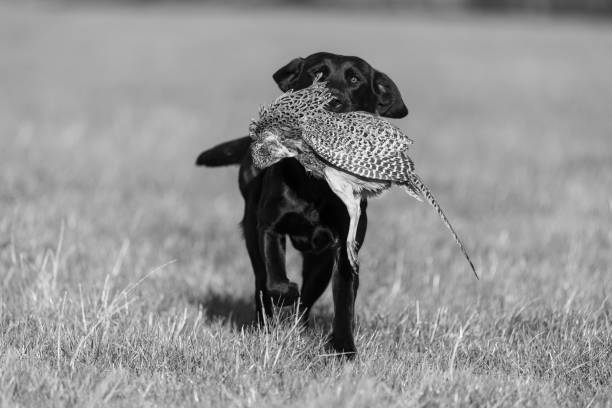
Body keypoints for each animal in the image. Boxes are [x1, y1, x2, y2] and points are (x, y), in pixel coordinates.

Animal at [196, 52, 406, 356]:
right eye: (317, 72)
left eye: (355, 79)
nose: (332, 101)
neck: (317, 186)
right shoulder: (269, 228)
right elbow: (275, 280)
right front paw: (287, 294)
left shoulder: (344, 250)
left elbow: (344, 302)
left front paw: (344, 348)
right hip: (251, 234)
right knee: (261, 283)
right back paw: (266, 324)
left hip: (319, 261)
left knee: (308, 297)